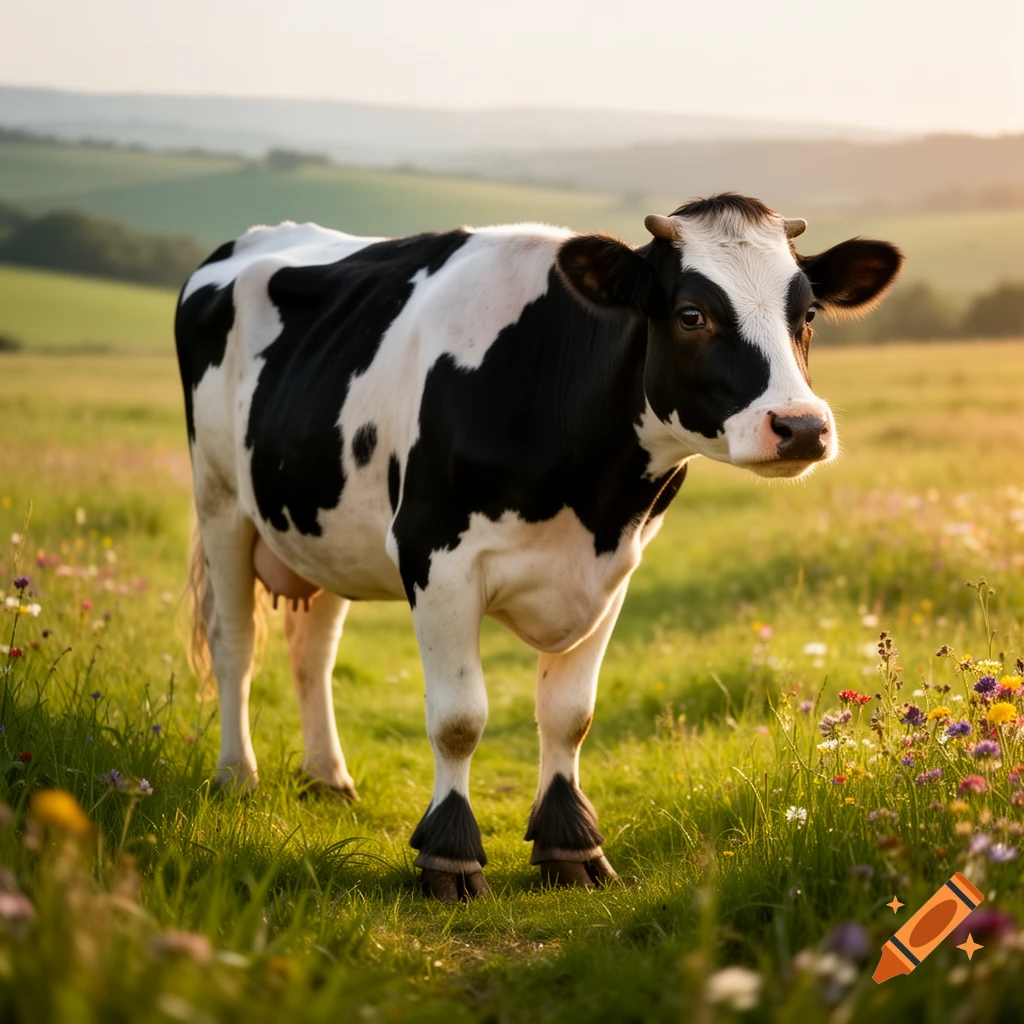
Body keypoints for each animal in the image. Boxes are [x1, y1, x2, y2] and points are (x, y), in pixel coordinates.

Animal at [175, 193, 902, 901]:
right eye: (692, 314)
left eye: (808, 312)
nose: (802, 426)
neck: (588, 490)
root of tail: (253, 236)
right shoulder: (434, 555)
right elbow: (459, 719)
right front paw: (449, 856)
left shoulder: (613, 567)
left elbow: (568, 715)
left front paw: (570, 845)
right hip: (220, 501)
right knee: (235, 644)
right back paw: (238, 776)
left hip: (320, 526)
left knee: (313, 652)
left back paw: (328, 778)